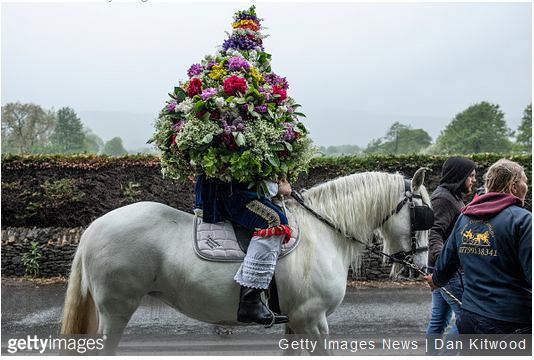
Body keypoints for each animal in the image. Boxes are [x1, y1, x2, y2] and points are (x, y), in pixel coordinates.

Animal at [60, 168, 434, 354]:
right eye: (423, 213)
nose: (421, 268)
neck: (323, 231)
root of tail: (94, 227)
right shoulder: (314, 321)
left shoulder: (296, 323)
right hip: (116, 311)